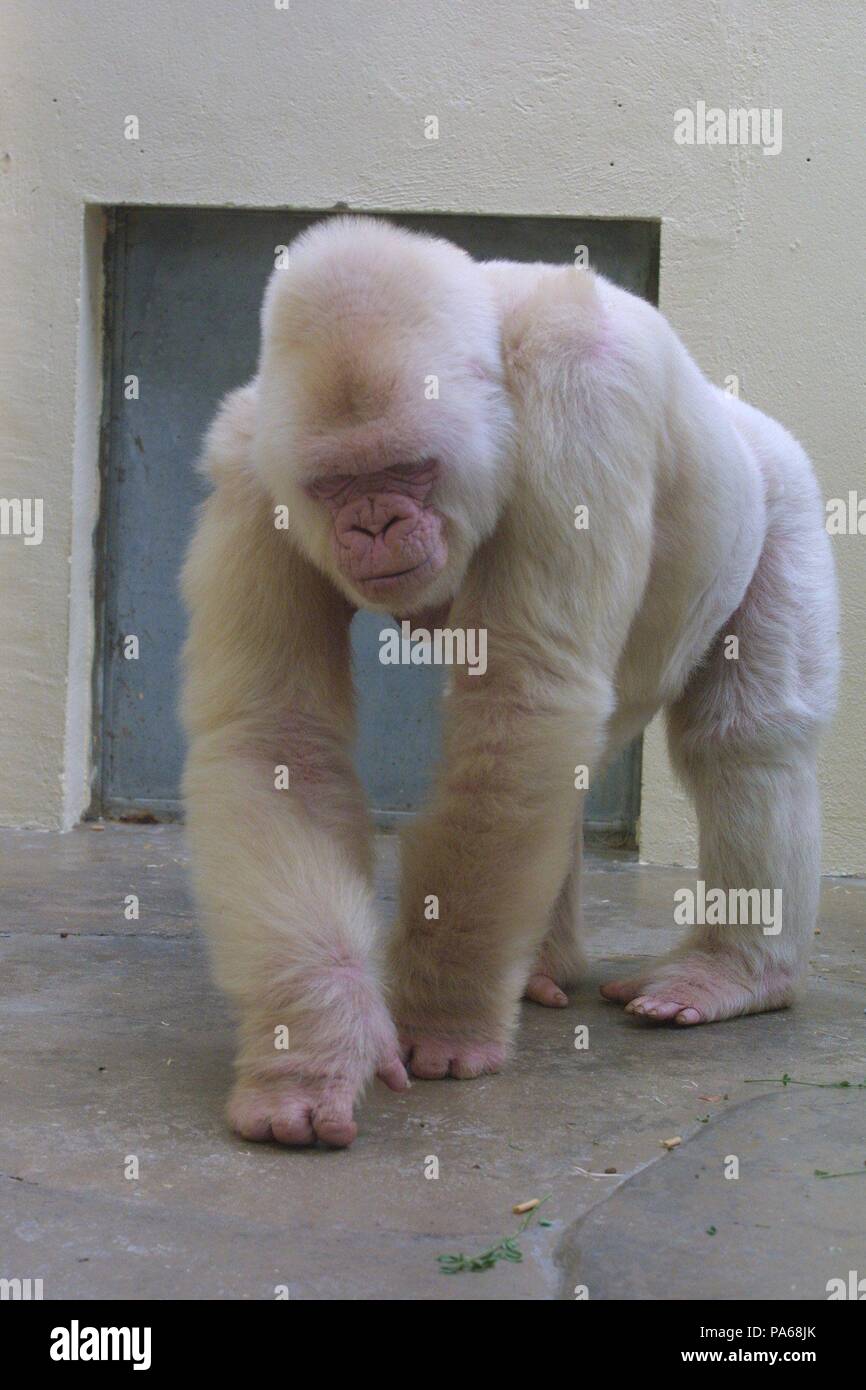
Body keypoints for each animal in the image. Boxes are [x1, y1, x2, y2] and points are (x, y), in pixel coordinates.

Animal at [183, 216, 839, 1145]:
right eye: (337, 483)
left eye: (410, 468)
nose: (373, 525)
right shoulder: (253, 469)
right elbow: (276, 738)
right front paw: (312, 1042)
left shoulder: (581, 393)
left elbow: (526, 698)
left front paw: (444, 1016)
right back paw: (541, 964)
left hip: (784, 485)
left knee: (745, 745)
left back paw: (739, 972)